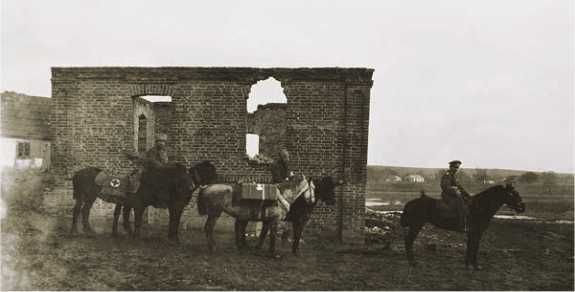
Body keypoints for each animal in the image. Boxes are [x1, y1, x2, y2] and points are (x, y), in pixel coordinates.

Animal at [197, 173, 338, 256]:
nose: (312, 201)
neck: (283, 195)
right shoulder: (278, 220)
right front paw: (274, 253)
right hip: (215, 213)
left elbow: (265, 234)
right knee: (209, 228)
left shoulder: (269, 220)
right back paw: (213, 247)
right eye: (314, 188)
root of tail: (206, 186)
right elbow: (274, 236)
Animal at [400, 184, 528, 270]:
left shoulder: (473, 233)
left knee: (408, 240)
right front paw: (474, 266)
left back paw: (411, 261)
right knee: (409, 240)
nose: (522, 207)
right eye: (513, 194)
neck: (479, 207)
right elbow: (474, 247)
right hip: (416, 225)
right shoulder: (476, 232)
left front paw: (468, 265)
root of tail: (411, 202)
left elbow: (471, 247)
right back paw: (412, 262)